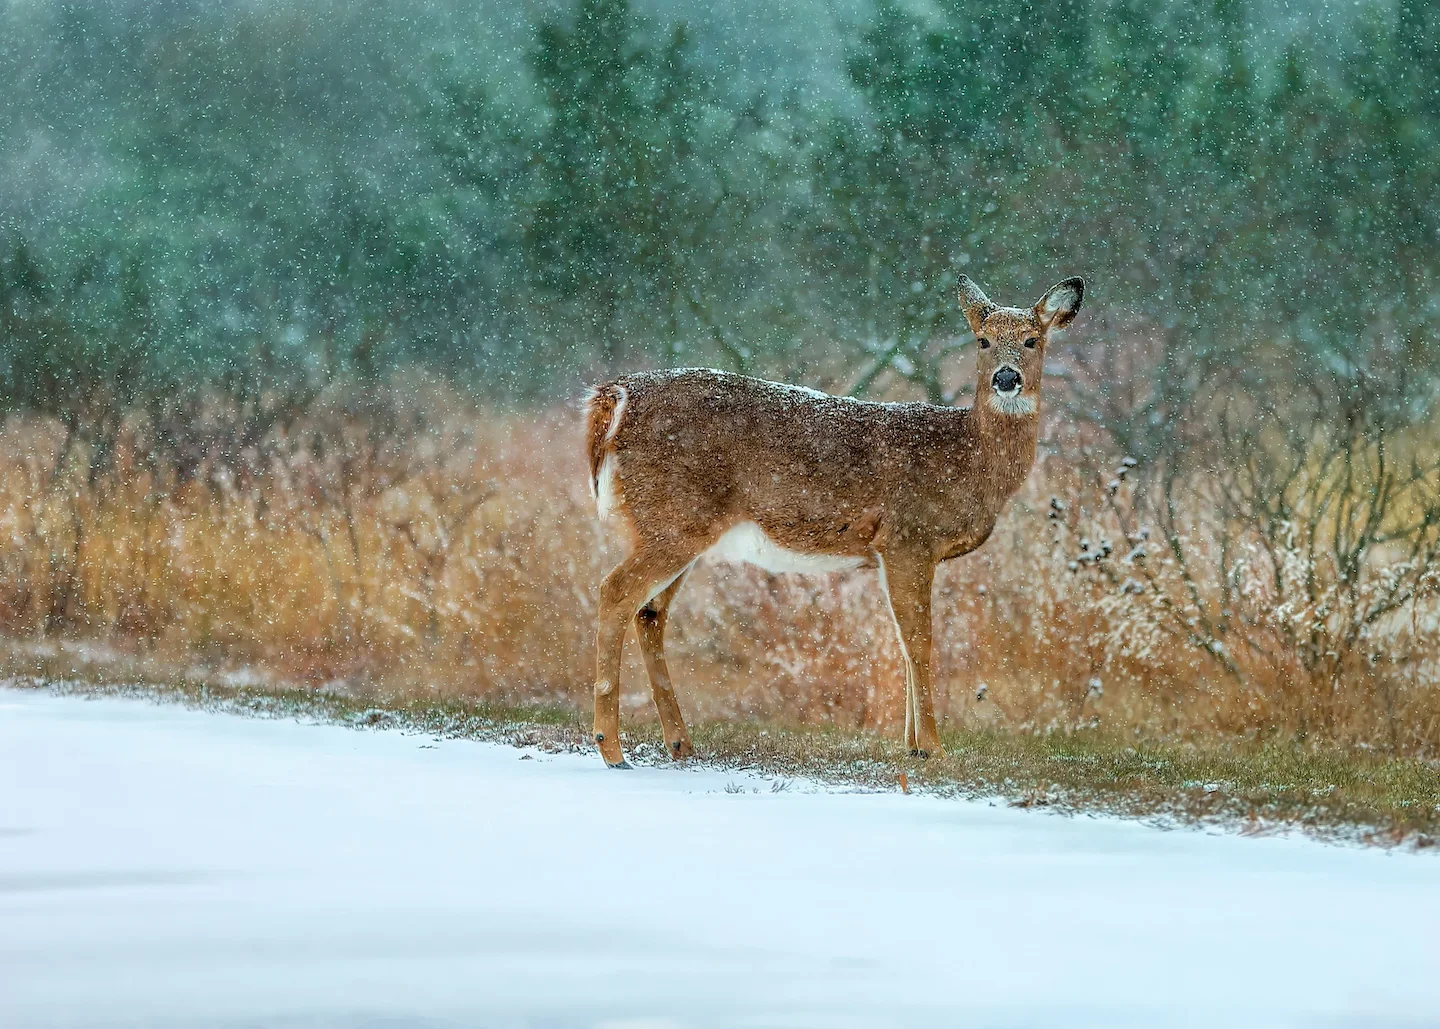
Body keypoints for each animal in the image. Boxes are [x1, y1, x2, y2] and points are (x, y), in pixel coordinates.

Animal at [583, 274, 1084, 768]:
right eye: (982, 340)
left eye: (1032, 339)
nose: (1006, 377)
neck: (970, 460)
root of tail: (614, 397)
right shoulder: (909, 537)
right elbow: (919, 641)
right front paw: (934, 748)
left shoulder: (894, 552)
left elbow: (902, 640)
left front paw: (912, 746)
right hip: (673, 519)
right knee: (615, 592)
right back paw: (611, 746)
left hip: (677, 527)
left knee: (650, 612)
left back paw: (680, 743)